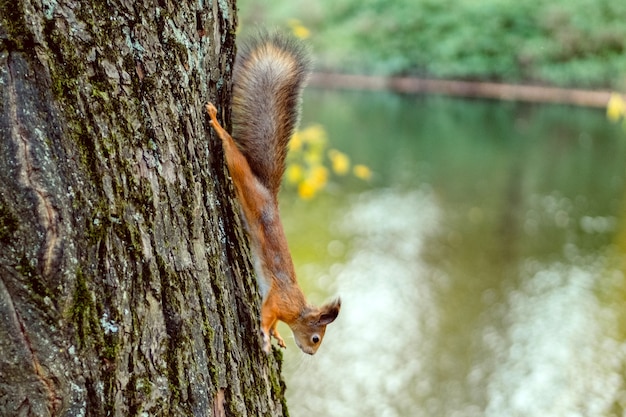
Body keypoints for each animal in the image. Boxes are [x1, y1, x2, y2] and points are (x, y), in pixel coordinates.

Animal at [205, 32, 342, 354]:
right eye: (316, 338)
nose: (310, 353)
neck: (299, 307)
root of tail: (267, 193)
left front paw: (278, 335)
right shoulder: (279, 300)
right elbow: (266, 315)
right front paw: (267, 335)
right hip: (241, 174)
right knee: (231, 150)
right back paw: (216, 123)